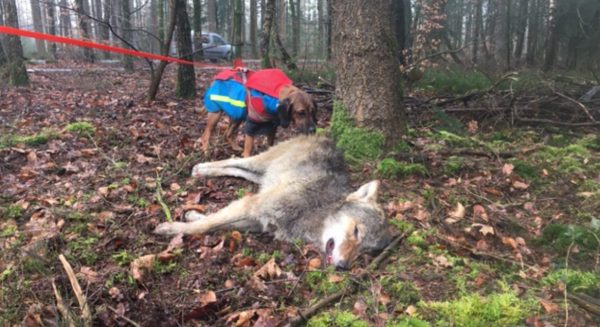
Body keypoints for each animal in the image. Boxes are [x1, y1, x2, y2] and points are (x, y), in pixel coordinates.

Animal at [154, 135, 394, 268]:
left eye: (365, 250)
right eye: (356, 231)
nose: (344, 267)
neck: (317, 208)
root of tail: (324, 135)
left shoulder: (258, 219)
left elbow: (215, 222)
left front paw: (192, 215)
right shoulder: (252, 205)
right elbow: (206, 225)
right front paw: (172, 228)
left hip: (263, 175)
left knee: (238, 169)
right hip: (260, 163)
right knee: (235, 159)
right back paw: (202, 169)